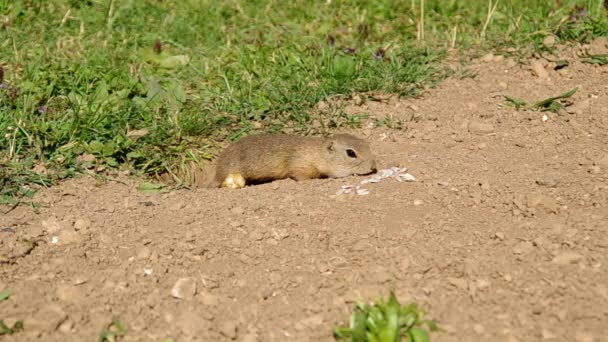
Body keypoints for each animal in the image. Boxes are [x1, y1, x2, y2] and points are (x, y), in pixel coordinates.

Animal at [207, 133, 378, 187]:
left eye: (366, 144)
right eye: (351, 153)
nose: (373, 167)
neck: (318, 153)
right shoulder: (300, 164)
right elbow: (299, 175)